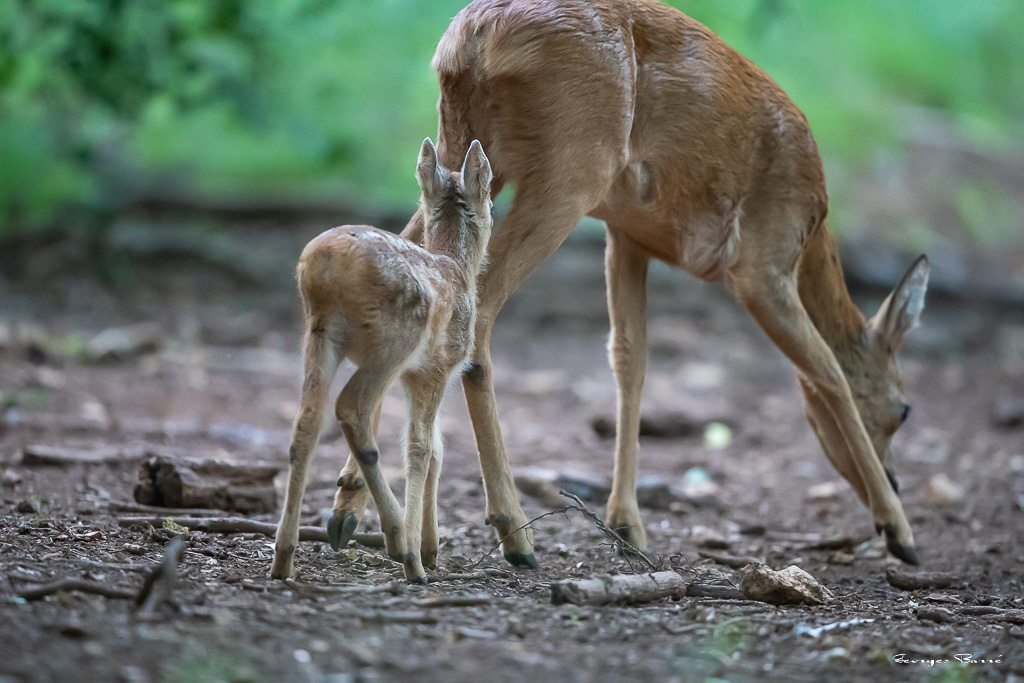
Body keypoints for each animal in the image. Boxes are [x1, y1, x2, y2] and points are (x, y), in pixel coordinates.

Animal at [270, 138, 494, 583]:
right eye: (492, 197)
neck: (457, 270)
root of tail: (325, 262)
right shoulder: (435, 368)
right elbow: (422, 448)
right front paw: (421, 556)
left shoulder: (414, 375)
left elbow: (437, 449)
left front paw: (431, 548)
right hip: (394, 339)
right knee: (351, 407)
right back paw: (400, 546)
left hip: (318, 332)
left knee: (306, 421)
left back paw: (283, 559)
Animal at [332, 0, 931, 568]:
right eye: (904, 409)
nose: (896, 481)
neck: (813, 232)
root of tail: (473, 37)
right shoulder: (762, 262)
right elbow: (828, 370)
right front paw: (899, 531)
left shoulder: (626, 235)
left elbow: (630, 360)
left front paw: (626, 523)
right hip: (573, 165)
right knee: (477, 316)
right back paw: (512, 533)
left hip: (463, 151)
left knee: (414, 262)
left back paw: (351, 512)